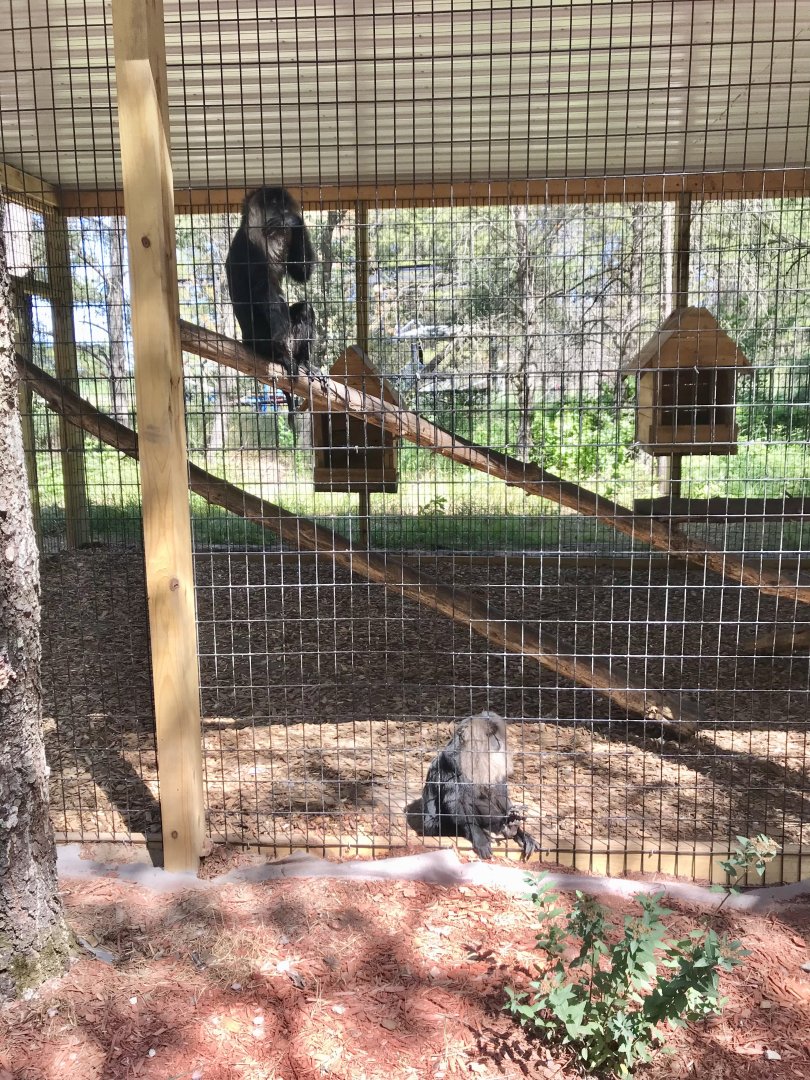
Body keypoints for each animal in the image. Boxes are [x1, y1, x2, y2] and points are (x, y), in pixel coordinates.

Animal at [225, 185, 322, 430]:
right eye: (272, 204)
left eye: (282, 204)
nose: (281, 211)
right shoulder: (248, 248)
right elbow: (263, 291)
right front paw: (282, 352)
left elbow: (301, 272)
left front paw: (293, 220)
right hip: (260, 340)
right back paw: (281, 356)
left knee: (305, 310)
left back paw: (305, 364)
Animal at [405, 711, 537, 861]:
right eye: (490, 735)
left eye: (496, 734)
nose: (498, 742)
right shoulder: (455, 765)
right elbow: (457, 802)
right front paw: (479, 837)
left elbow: (498, 795)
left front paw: (521, 832)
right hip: (438, 828)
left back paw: (511, 827)